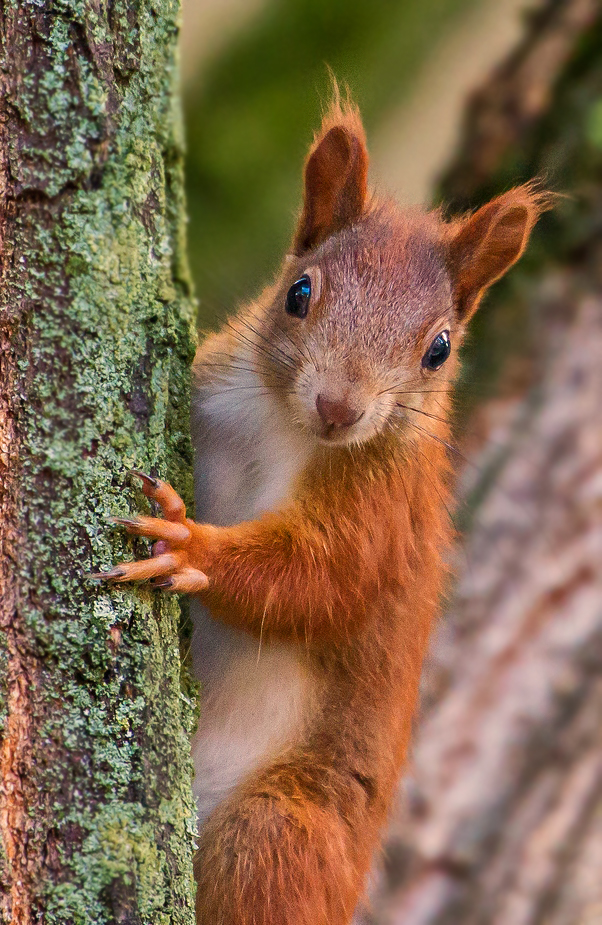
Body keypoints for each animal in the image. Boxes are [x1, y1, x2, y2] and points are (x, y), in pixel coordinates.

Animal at [96, 95, 548, 924]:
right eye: (299, 293)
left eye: (439, 348)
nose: (339, 408)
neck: (280, 425)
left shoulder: (385, 510)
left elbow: (321, 578)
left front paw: (191, 547)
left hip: (283, 829)